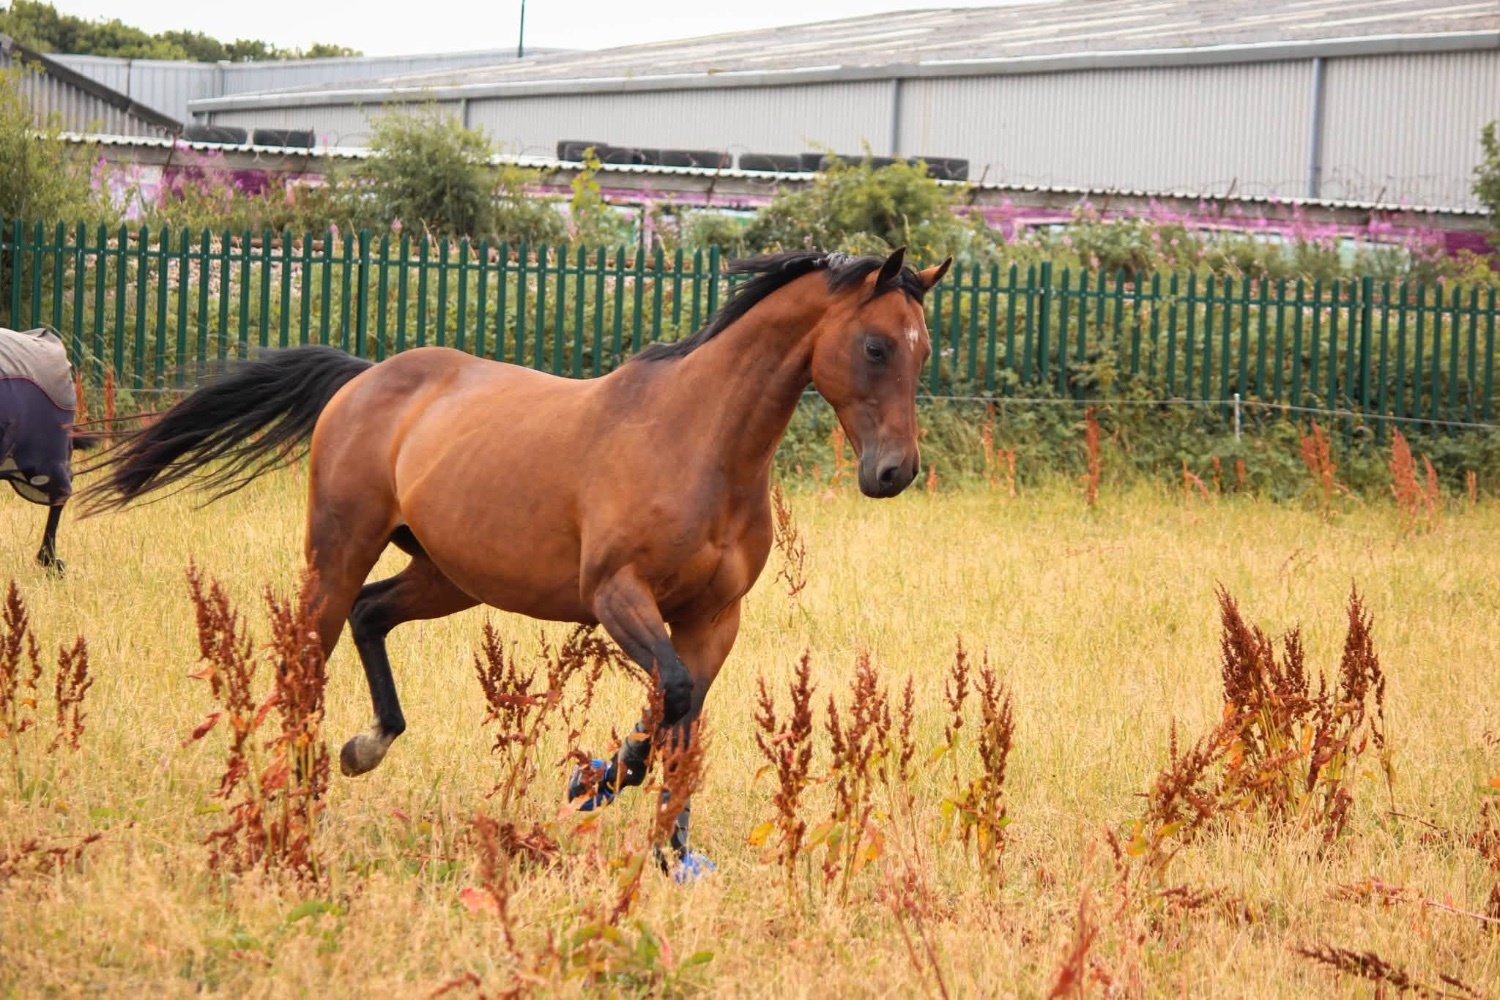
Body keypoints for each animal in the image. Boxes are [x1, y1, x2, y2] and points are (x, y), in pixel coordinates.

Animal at [79, 247, 951, 874]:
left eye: (922, 352)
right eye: (876, 345)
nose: (893, 473)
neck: (697, 440)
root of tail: (365, 380)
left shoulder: (713, 619)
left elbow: (684, 723)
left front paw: (670, 853)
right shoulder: (618, 597)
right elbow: (670, 698)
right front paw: (593, 781)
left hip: (448, 575)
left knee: (371, 615)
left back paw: (369, 744)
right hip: (338, 551)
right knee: (309, 653)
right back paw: (301, 790)